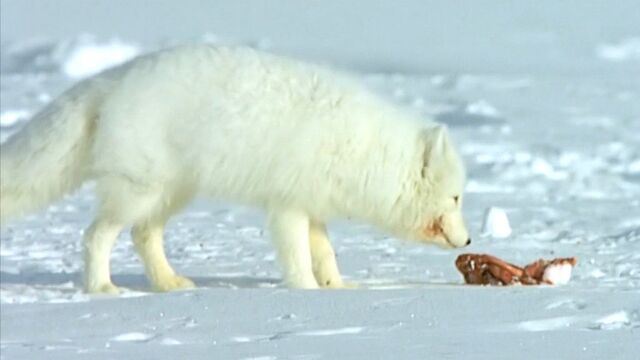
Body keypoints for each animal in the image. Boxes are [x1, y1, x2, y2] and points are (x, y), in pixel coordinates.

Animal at [0, 45, 470, 292]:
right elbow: (298, 255)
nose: (469, 240)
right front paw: (305, 290)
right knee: (96, 235)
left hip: (171, 192)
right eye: (456, 197)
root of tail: (116, 76)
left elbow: (325, 253)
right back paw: (101, 288)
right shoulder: (287, 205)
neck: (366, 150)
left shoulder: (312, 202)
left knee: (143, 235)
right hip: (139, 190)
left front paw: (336, 288)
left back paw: (169, 282)